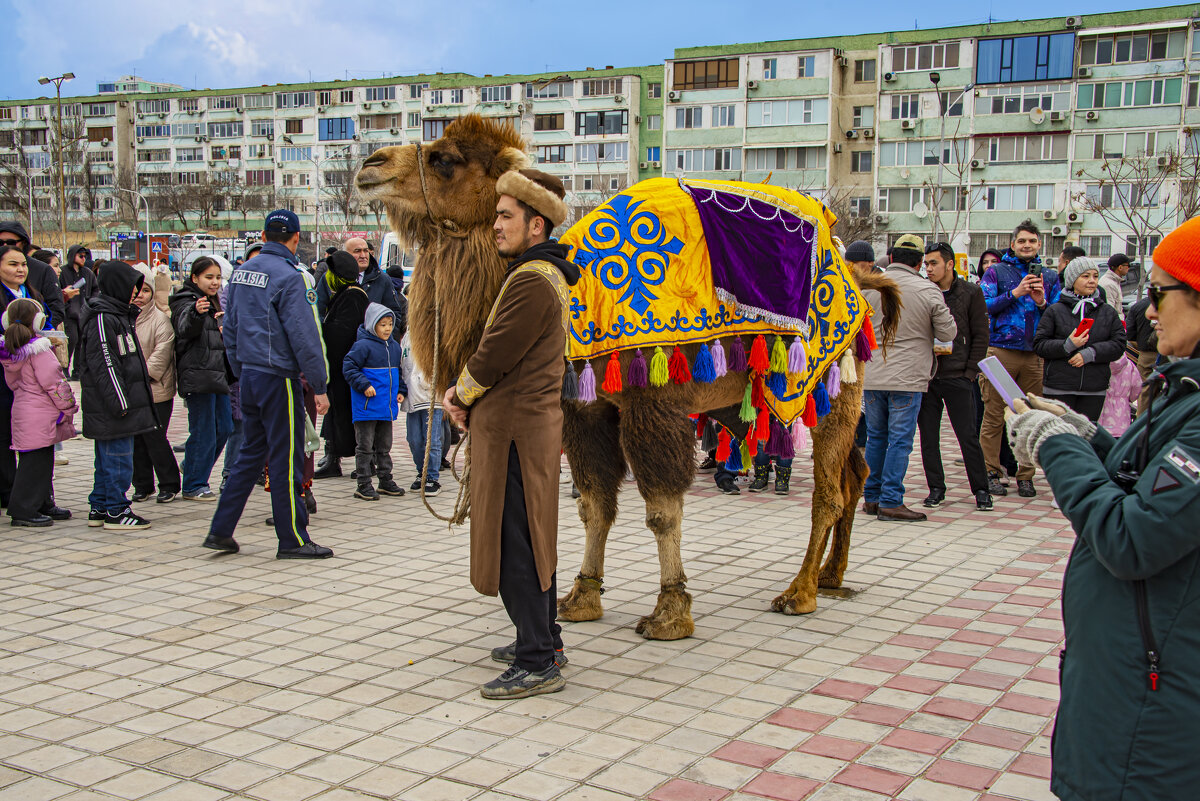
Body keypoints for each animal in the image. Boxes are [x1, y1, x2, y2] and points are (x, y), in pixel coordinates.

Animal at [355, 113, 902, 637]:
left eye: (446, 159)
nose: (370, 165)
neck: (573, 292)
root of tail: (857, 275)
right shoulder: (586, 411)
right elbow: (595, 505)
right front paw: (581, 597)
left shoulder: (650, 403)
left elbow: (661, 510)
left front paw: (670, 613)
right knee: (855, 475)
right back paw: (832, 576)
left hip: (830, 381)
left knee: (829, 492)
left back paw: (800, 592)